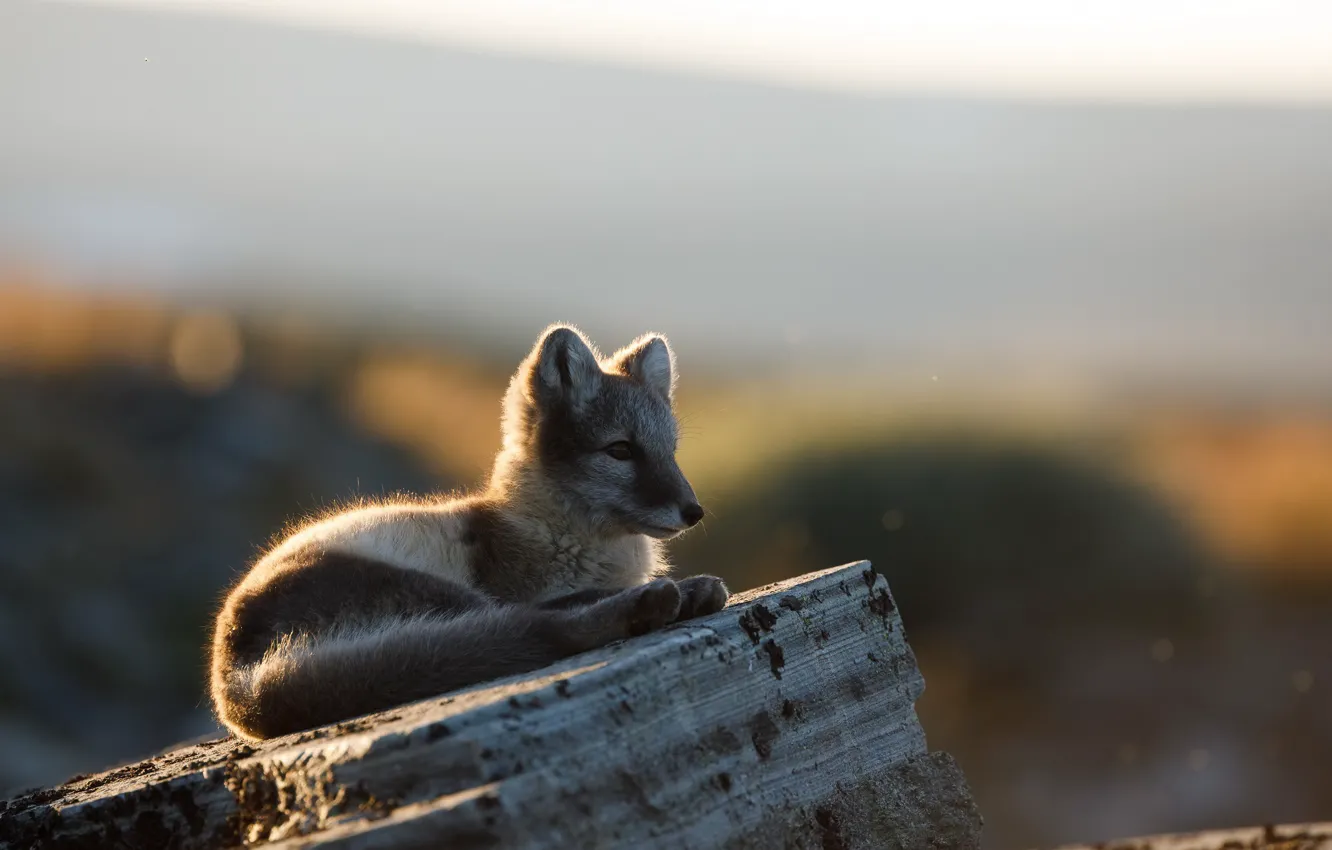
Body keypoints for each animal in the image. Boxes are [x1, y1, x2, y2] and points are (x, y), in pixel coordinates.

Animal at [210, 325, 728, 741]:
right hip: (439, 592)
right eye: (620, 450)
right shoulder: (517, 584)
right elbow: (563, 600)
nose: (695, 511)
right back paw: (653, 604)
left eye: (671, 451)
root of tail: (232, 679)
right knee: (536, 624)